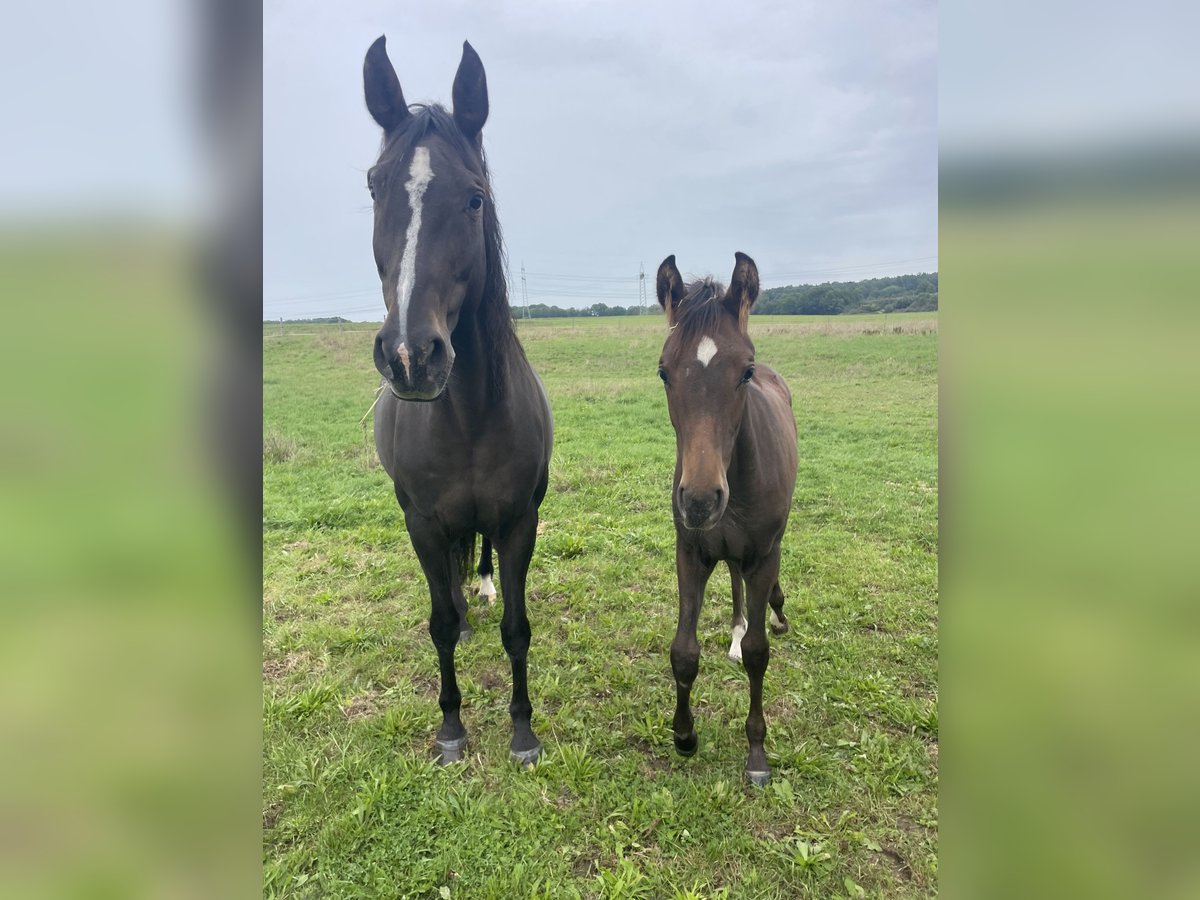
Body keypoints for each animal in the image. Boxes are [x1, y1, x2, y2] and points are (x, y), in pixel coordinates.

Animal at [363, 36, 553, 766]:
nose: (412, 356)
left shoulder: (520, 520)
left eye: (474, 199)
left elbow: (518, 628)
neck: (468, 416)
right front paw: (451, 728)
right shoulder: (421, 520)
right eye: (374, 185)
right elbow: (439, 622)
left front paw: (523, 732)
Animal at [654, 252, 798, 786]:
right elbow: (683, 651)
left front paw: (757, 754)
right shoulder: (691, 552)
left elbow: (759, 653)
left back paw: (772, 614)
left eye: (745, 371)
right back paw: (735, 631)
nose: (699, 501)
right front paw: (684, 735)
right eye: (664, 372)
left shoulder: (763, 554)